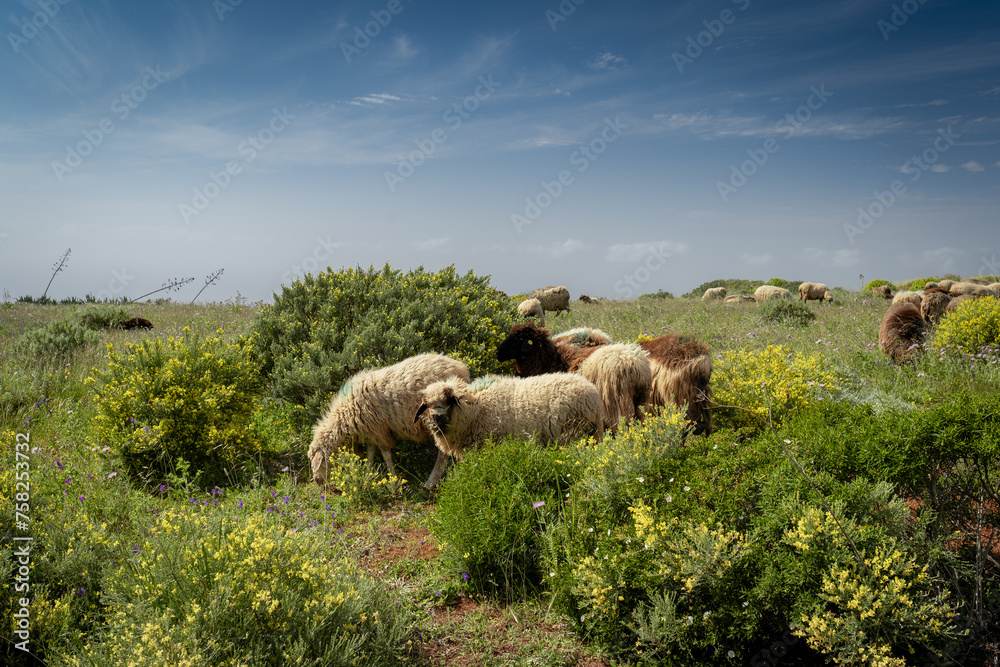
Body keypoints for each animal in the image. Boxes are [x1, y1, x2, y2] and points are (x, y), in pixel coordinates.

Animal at [307, 353, 470, 490]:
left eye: (316, 462)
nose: (316, 481)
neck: (346, 414)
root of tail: (462, 369)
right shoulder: (372, 430)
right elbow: (371, 453)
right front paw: (368, 474)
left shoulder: (380, 430)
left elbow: (386, 455)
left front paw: (393, 480)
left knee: (443, 452)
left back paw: (430, 482)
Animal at [414, 374, 604, 459]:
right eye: (427, 405)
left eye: (448, 400)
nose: (437, 417)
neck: (477, 408)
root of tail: (593, 393)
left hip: (574, 433)